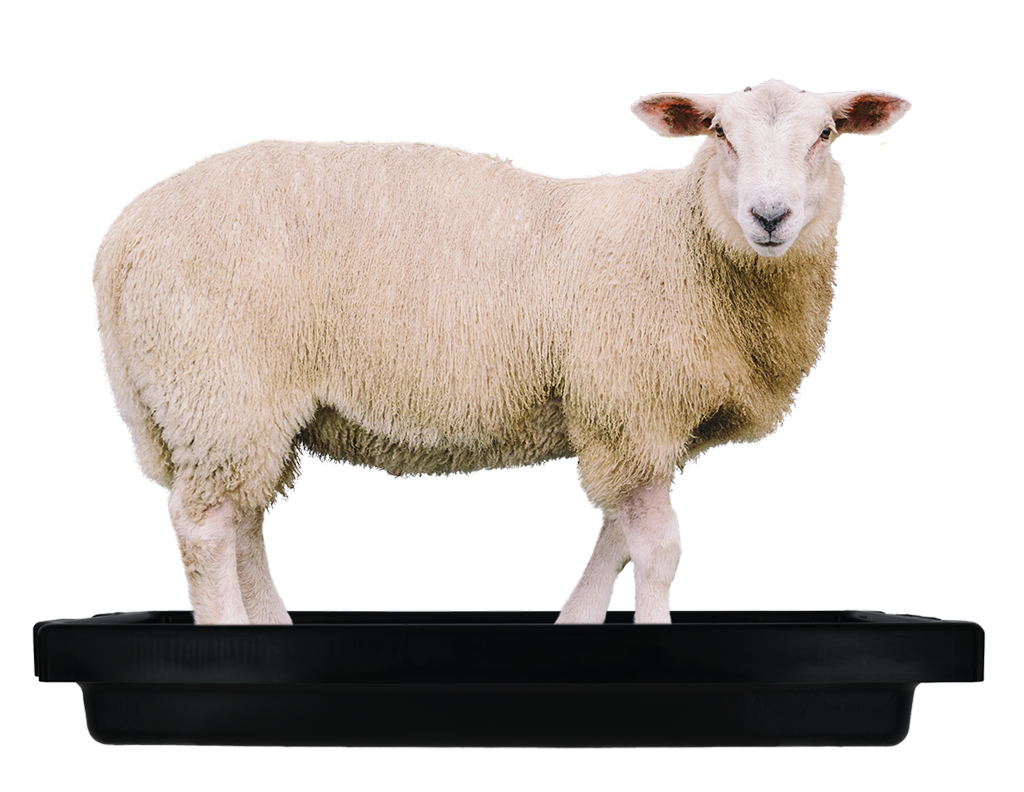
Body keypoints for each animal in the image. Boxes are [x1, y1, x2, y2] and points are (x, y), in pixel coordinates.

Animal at [91, 79, 911, 625]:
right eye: (719, 136)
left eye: (825, 138)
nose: (770, 216)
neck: (684, 243)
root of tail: (123, 236)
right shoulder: (631, 410)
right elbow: (657, 551)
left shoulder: (624, 424)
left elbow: (616, 537)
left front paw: (576, 624)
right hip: (218, 386)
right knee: (205, 531)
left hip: (238, 412)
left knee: (245, 521)